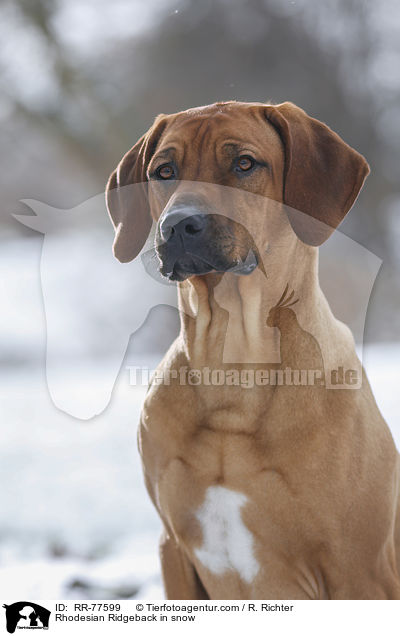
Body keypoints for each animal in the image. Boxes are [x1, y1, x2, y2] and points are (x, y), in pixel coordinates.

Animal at [104, 102, 398, 600]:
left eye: (244, 164)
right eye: (164, 171)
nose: (177, 225)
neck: (233, 367)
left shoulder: (358, 569)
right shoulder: (174, 549)